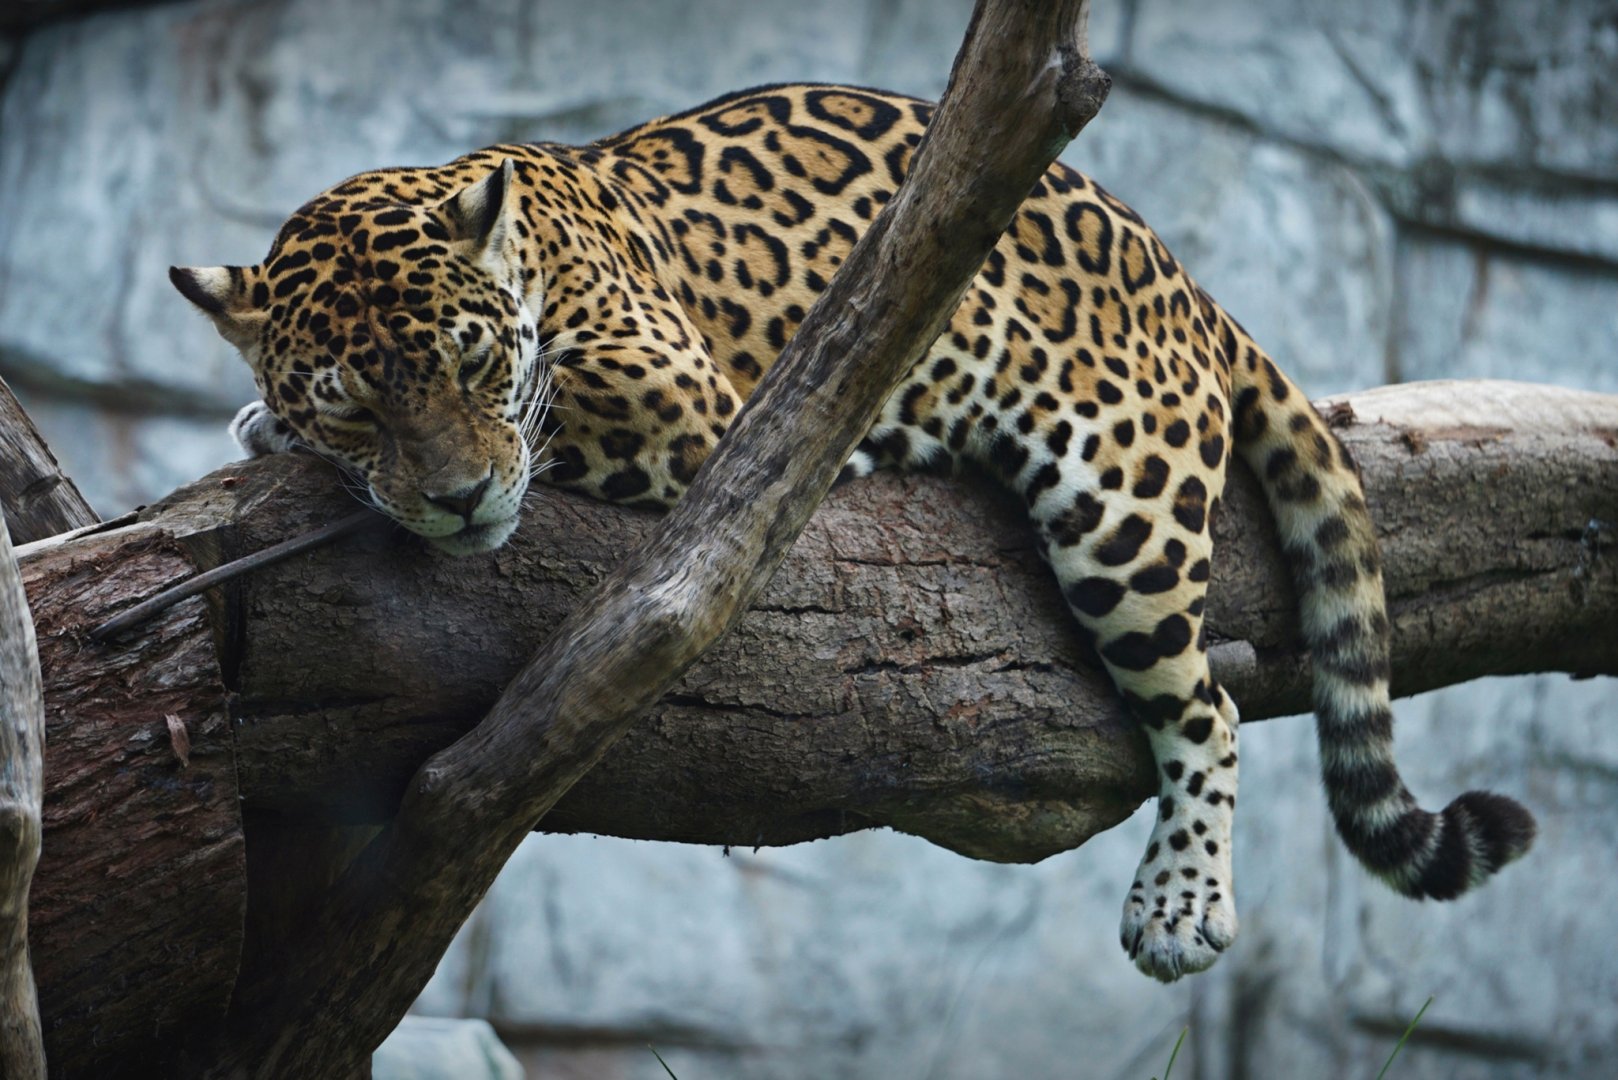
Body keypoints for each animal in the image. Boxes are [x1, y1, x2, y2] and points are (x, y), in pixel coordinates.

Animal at [171, 83, 1535, 982]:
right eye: (354, 403)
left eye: (471, 362)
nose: (456, 500)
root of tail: (1183, 275)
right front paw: (272, 424)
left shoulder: (686, 405)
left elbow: (548, 428)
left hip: (1122, 502)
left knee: (1208, 703)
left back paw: (1181, 900)